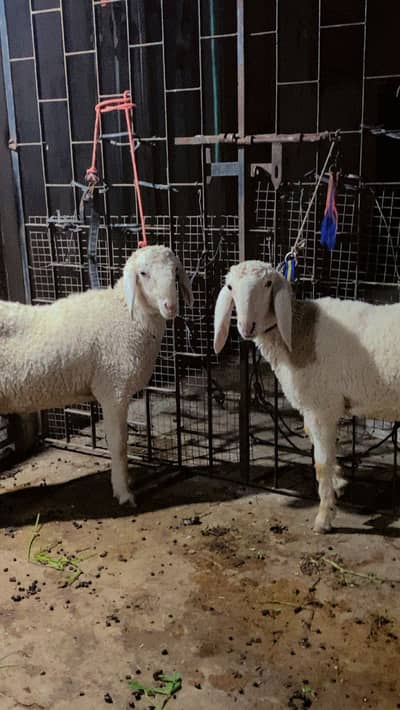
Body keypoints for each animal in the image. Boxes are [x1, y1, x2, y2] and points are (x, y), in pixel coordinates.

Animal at [0, 245, 193, 506]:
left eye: (175, 272)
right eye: (143, 273)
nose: (170, 307)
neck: (127, 314)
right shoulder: (114, 388)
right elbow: (119, 444)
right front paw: (123, 491)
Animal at [214, 259, 400, 533]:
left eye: (267, 284)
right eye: (230, 287)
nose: (247, 327)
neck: (299, 331)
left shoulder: (321, 406)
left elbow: (320, 463)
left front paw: (324, 517)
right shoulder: (315, 406)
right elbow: (315, 442)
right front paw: (338, 482)